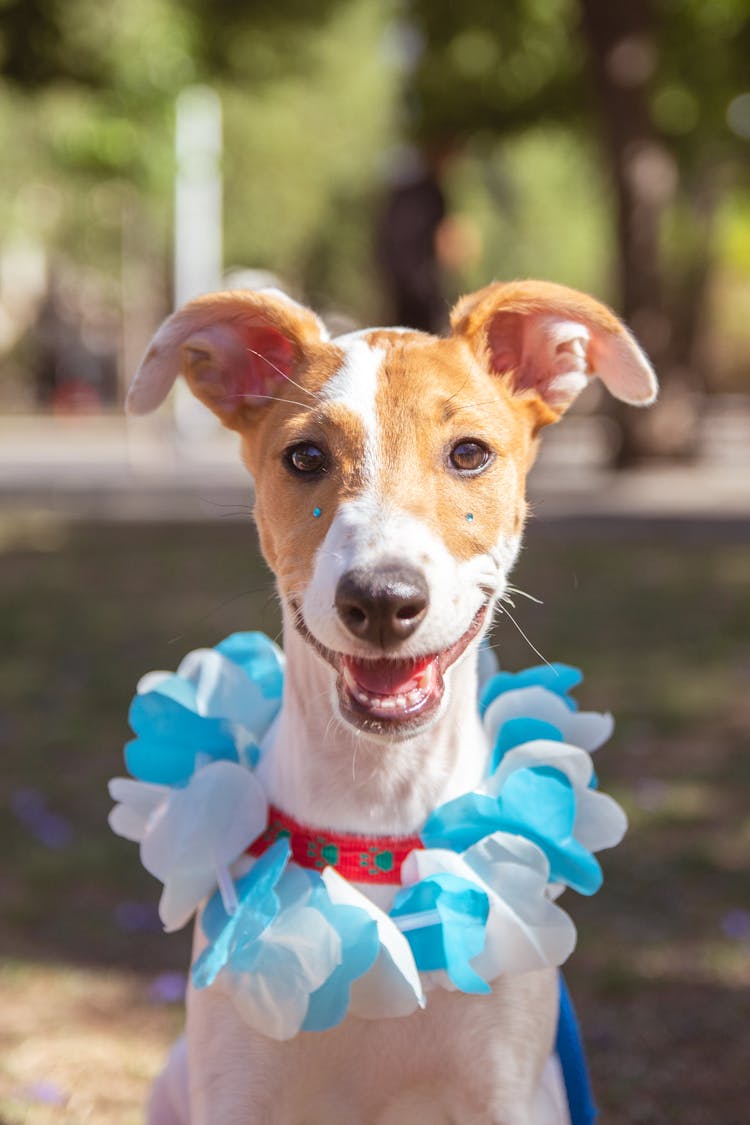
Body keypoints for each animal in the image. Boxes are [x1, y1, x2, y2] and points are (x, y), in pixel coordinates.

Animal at [124, 276, 656, 1120]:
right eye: (305, 456)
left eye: (469, 452)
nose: (380, 598)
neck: (378, 806)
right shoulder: (237, 1088)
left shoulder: (508, 1089)